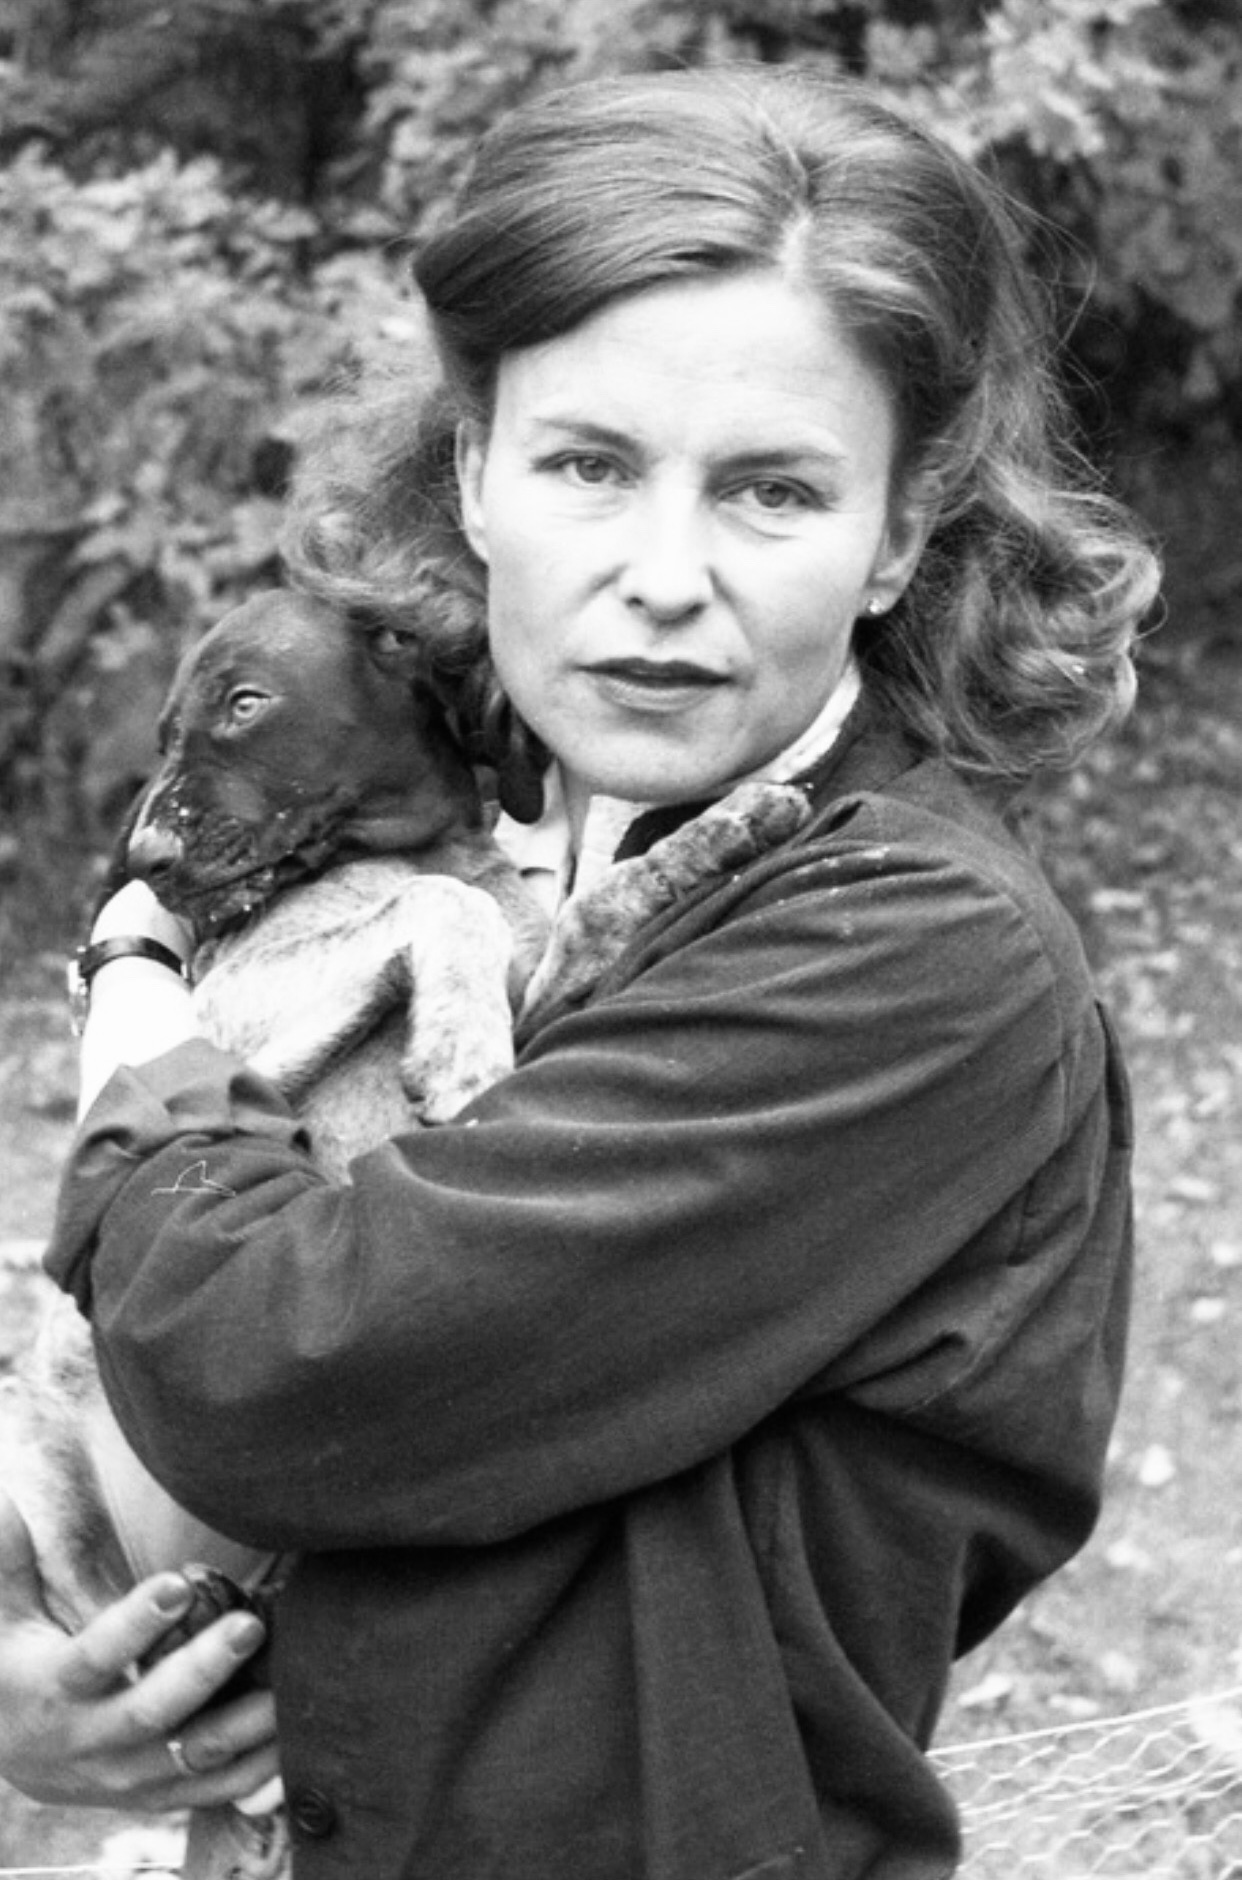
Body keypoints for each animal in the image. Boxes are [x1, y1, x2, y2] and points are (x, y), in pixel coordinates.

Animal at [3, 587, 813, 1878]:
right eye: (167, 727)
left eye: (244, 703)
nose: (145, 863)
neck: (389, 846)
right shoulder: (235, 1025)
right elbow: (447, 906)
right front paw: (460, 1049)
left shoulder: (546, 986)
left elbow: (583, 904)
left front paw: (729, 821)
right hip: (33, 1443)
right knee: (97, 1613)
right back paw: (188, 1623)